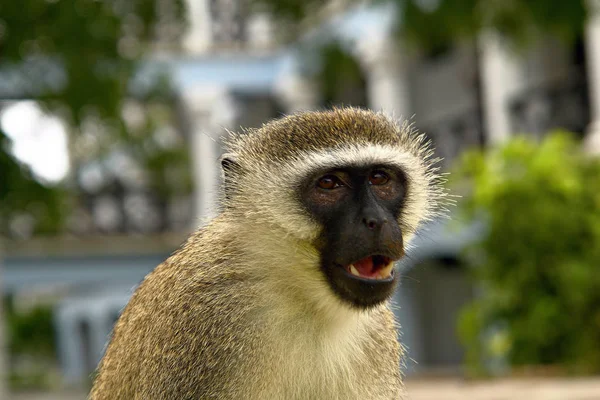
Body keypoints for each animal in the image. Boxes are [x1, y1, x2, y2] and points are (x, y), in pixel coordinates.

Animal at [89, 108, 446, 398]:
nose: (376, 220)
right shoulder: (200, 317)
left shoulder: (376, 335)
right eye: (329, 184)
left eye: (380, 178)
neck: (303, 304)